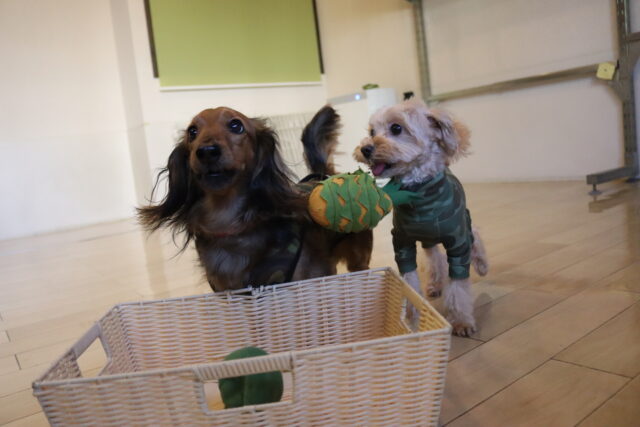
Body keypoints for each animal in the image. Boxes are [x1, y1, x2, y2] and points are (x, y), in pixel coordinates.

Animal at [138, 106, 373, 292]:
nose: (206, 151)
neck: (231, 223)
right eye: (192, 132)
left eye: (236, 125)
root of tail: (324, 175)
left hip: (358, 259)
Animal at [353, 99, 488, 336]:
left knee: (476, 234)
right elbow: (410, 281)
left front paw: (462, 322)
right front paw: (411, 315)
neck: (420, 195)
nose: (365, 149)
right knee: (435, 258)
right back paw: (435, 285)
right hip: (428, 239)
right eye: (371, 132)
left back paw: (482, 265)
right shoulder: (402, 243)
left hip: (464, 222)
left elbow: (458, 287)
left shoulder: (458, 243)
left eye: (396, 128)